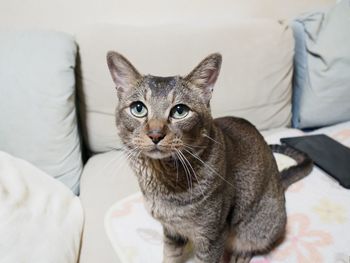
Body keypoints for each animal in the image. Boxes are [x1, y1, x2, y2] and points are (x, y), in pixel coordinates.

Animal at [106, 52, 312, 263]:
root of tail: (279, 181)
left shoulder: (212, 235)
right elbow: (170, 256)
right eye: (138, 108)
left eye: (180, 111)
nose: (155, 134)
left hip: (259, 225)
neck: (162, 183)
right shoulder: (171, 230)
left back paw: (241, 254)